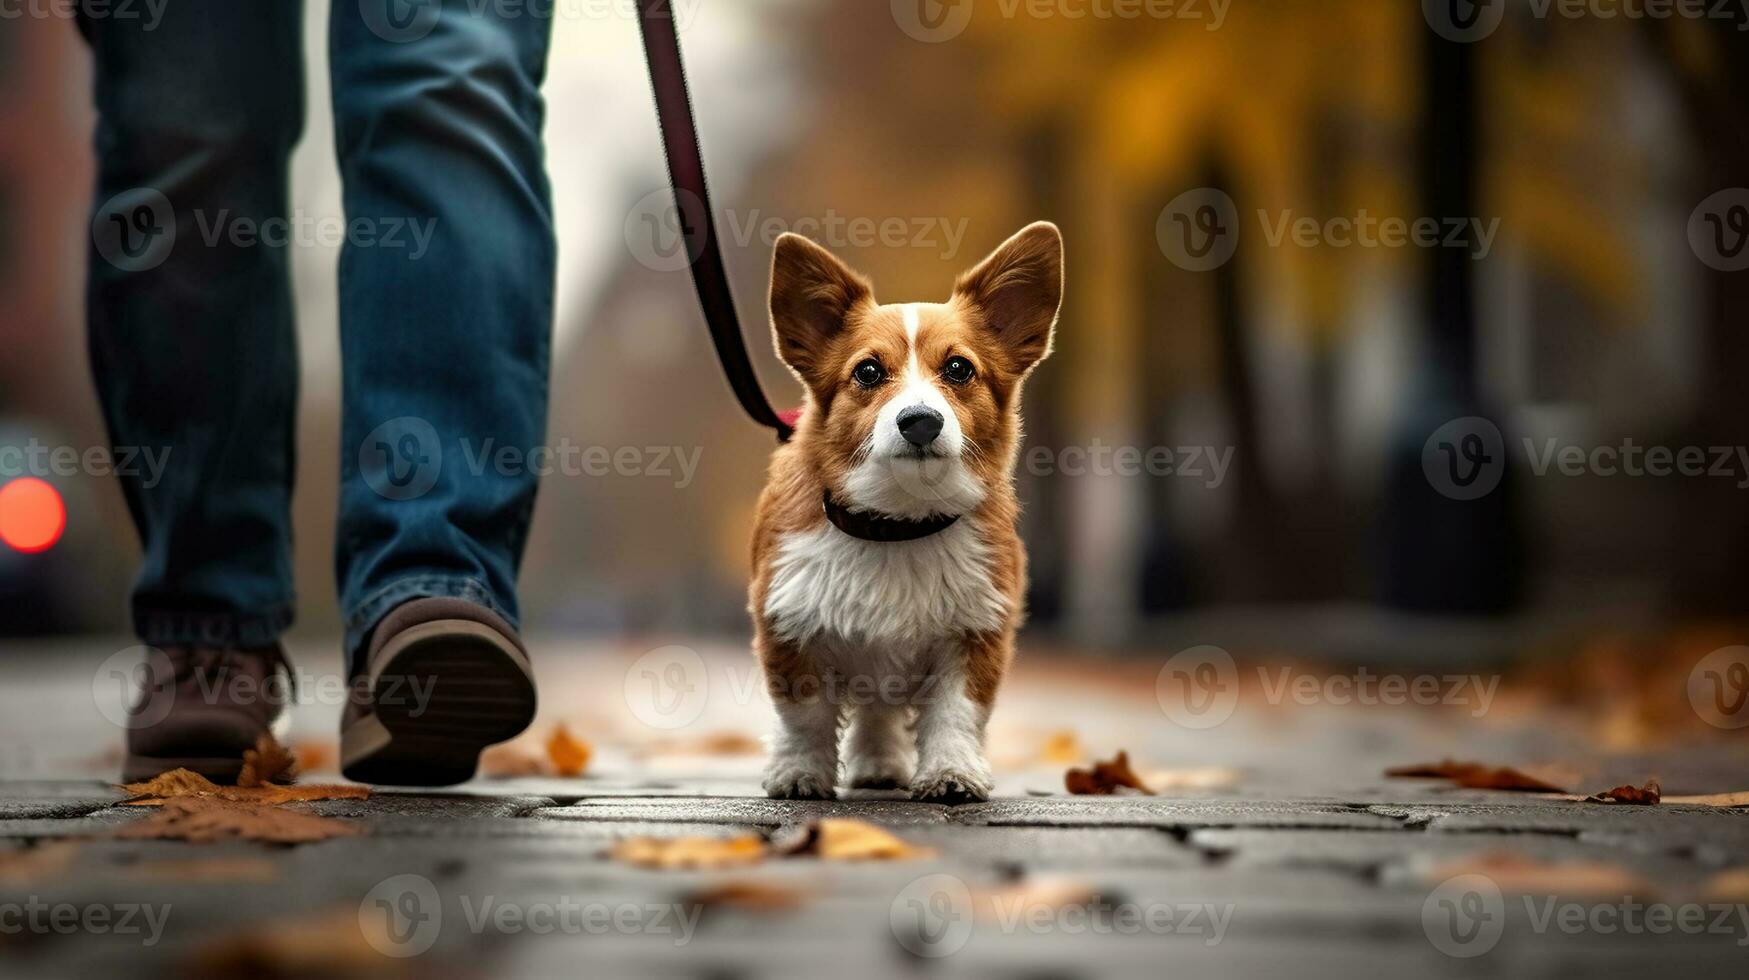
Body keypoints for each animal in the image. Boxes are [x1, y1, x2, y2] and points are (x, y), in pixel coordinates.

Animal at [745, 222, 1056, 805]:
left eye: (959, 368)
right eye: (868, 371)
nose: (920, 421)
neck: (897, 525)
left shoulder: (976, 633)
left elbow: (956, 713)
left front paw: (952, 775)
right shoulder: (790, 625)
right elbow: (804, 716)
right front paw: (799, 774)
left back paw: (881, 766)